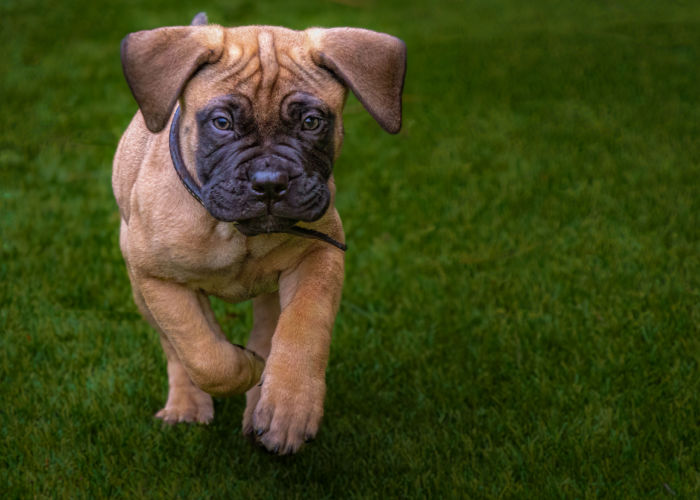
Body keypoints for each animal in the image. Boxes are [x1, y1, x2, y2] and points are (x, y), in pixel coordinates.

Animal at [113, 13, 408, 456]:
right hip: (139, 285)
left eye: (311, 122)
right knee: (177, 346)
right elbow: (200, 350)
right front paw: (244, 367)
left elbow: (303, 327)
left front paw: (289, 408)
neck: (236, 234)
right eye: (222, 123)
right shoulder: (156, 277)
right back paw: (187, 404)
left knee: (269, 329)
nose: (270, 184)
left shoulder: (320, 256)